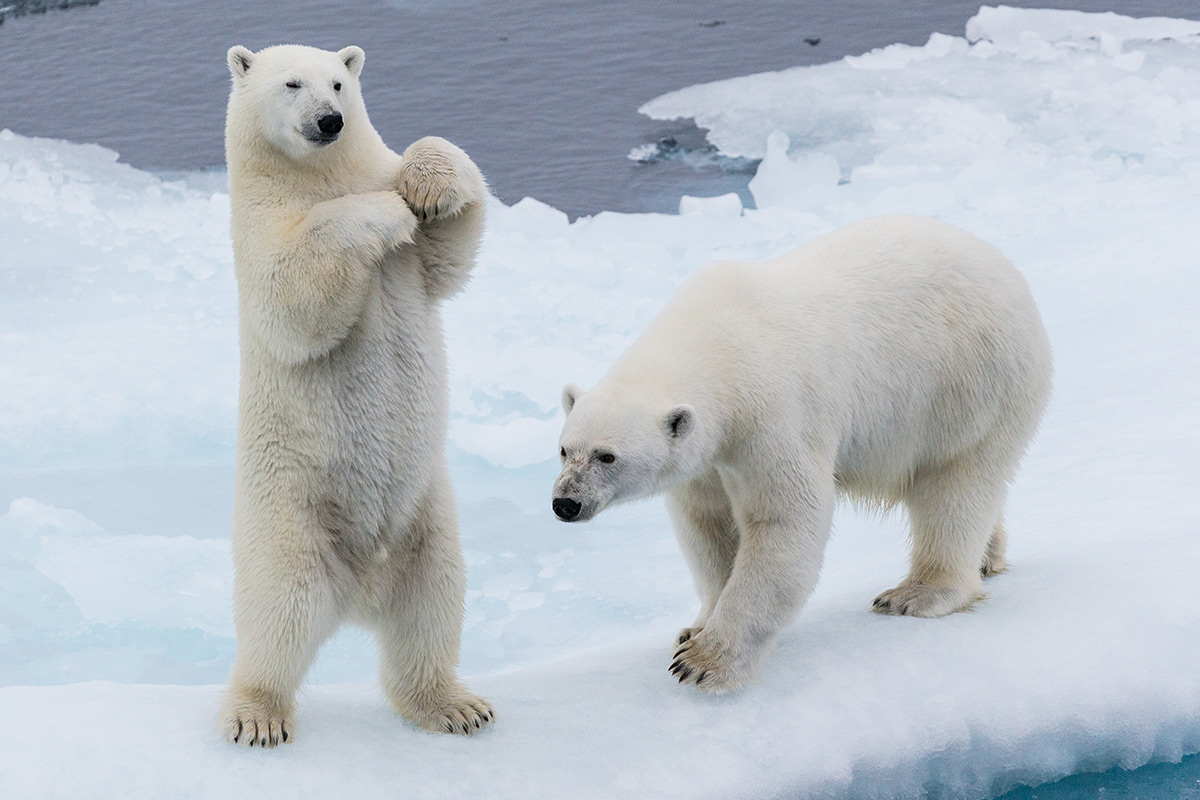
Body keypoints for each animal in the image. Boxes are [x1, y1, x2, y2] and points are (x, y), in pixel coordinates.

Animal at [220, 43, 493, 746]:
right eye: (291, 84)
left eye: (340, 83)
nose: (329, 121)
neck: (317, 176)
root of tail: (360, 592)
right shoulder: (258, 229)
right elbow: (294, 296)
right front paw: (386, 212)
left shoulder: (415, 261)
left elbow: (451, 251)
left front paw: (425, 187)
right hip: (290, 517)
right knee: (278, 616)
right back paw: (257, 714)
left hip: (426, 518)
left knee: (432, 606)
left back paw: (454, 705)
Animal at [552, 215, 1052, 693]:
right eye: (564, 450)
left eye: (607, 456)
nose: (564, 503)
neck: (716, 342)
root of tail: (1007, 271)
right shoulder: (708, 456)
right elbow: (708, 524)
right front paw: (694, 628)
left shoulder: (771, 414)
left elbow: (784, 519)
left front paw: (704, 662)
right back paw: (988, 556)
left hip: (967, 383)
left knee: (954, 484)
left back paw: (916, 593)